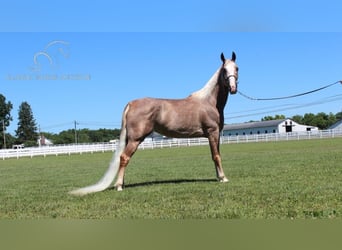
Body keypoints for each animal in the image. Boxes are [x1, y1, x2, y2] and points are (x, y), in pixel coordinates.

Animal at [70, 51, 238, 195]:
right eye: (224, 70)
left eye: (236, 68)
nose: (233, 88)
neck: (209, 101)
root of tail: (131, 103)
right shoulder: (212, 132)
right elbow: (216, 156)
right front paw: (223, 178)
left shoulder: (215, 135)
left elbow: (215, 154)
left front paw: (218, 177)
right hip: (136, 139)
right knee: (124, 158)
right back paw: (118, 186)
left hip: (130, 139)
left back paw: (122, 183)